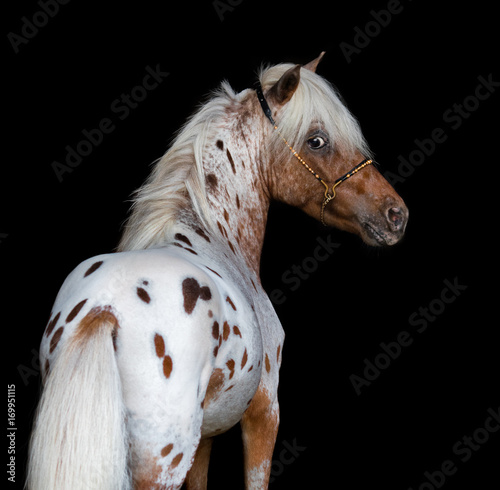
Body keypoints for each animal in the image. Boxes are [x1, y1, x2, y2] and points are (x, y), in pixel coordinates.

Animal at [27, 53, 408, 490]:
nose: (396, 214)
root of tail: (103, 309)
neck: (211, 236)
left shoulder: (205, 438)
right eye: (317, 140)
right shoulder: (264, 413)